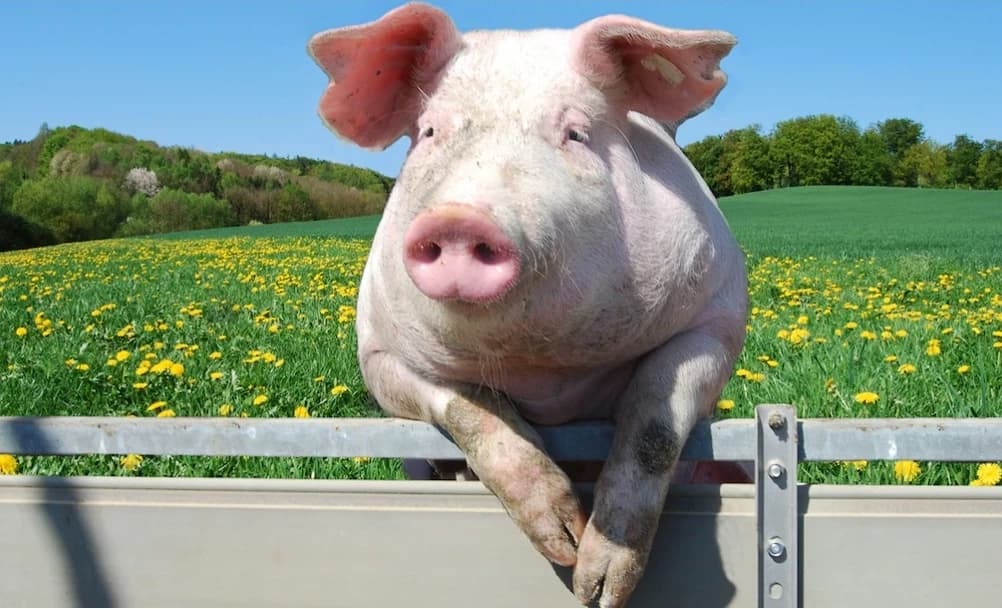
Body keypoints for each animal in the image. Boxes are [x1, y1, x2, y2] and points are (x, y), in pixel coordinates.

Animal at [308, 4, 747, 606]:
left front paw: (597, 587)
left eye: (575, 133)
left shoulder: (718, 315)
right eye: (428, 132)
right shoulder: (378, 353)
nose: (460, 218)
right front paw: (564, 544)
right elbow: (471, 410)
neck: (545, 370)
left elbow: (655, 424)